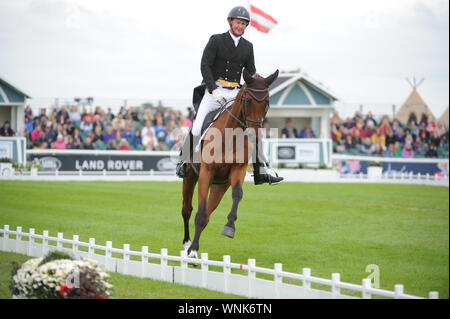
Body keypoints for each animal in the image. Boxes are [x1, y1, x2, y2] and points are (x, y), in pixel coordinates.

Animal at [179, 69, 278, 258]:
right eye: (248, 100)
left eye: (267, 102)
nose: (254, 134)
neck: (231, 136)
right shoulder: (206, 172)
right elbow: (198, 212)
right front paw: (193, 251)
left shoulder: (238, 170)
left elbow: (238, 194)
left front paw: (230, 226)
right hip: (190, 177)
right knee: (187, 210)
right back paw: (188, 245)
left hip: (220, 186)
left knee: (207, 214)